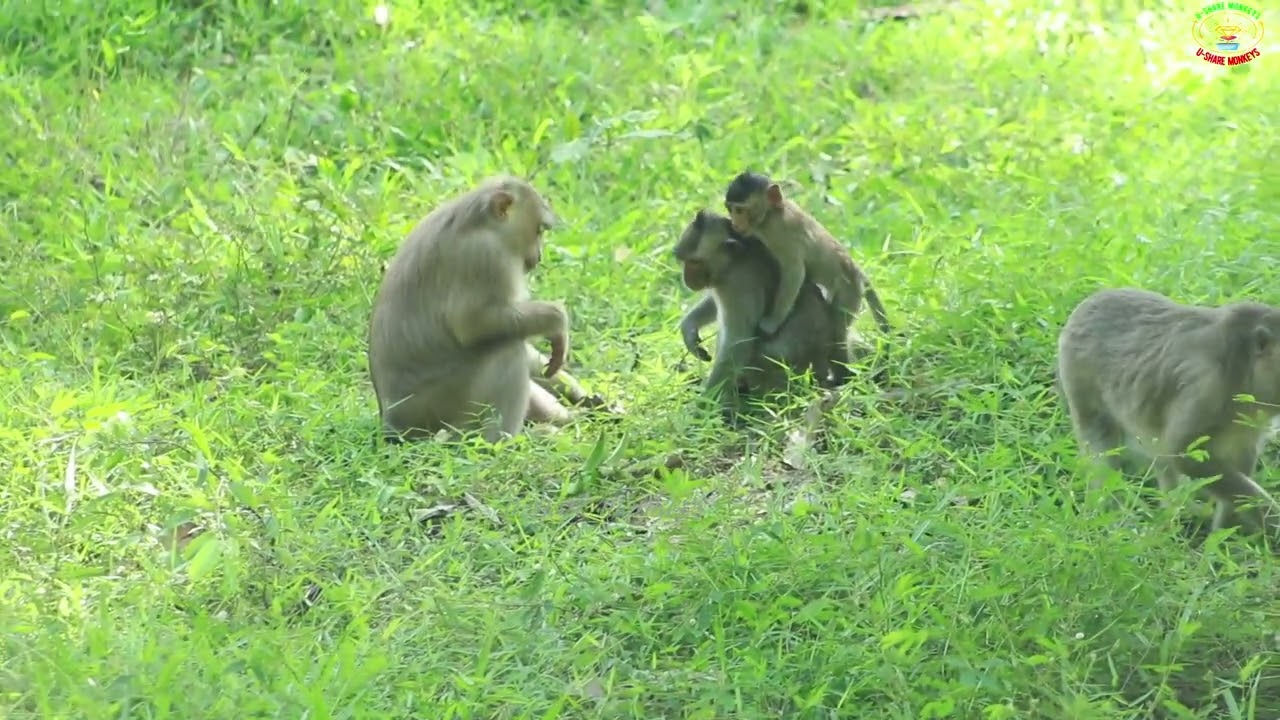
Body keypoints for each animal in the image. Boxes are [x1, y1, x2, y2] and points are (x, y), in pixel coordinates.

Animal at [367, 175, 573, 444]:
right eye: (538, 230)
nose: (539, 256)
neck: (481, 223)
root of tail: (391, 423)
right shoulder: (485, 255)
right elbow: (473, 325)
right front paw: (556, 321)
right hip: (438, 409)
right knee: (507, 349)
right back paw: (499, 443)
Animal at [673, 209, 843, 420]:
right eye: (685, 262)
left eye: (695, 262)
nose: (687, 278)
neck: (734, 260)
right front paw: (689, 328)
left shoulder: (739, 284)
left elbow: (738, 342)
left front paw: (703, 407)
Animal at [724, 171, 892, 386]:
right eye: (730, 209)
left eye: (740, 210)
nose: (735, 223)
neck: (773, 213)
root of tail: (856, 271)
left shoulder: (780, 233)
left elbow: (795, 272)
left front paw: (771, 323)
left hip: (849, 291)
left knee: (838, 329)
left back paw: (841, 376)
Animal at [1057, 287, 1280, 548]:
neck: (1244, 369)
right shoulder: (1207, 390)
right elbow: (1184, 454)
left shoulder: (1250, 423)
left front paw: (1222, 536)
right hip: (1080, 380)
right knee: (1103, 446)